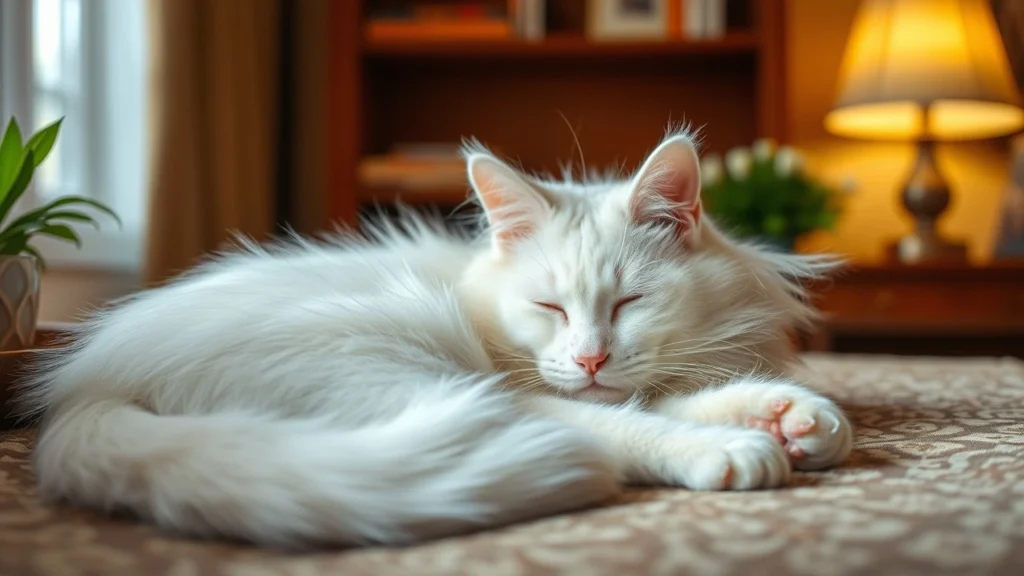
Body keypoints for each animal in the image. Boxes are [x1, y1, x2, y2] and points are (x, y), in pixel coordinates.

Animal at [19, 126, 851, 545]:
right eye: (550, 307)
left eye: (628, 303)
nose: (589, 356)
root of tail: (89, 388)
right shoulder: (528, 387)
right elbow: (640, 422)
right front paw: (745, 445)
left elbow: (675, 396)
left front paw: (798, 418)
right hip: (412, 375)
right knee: (593, 441)